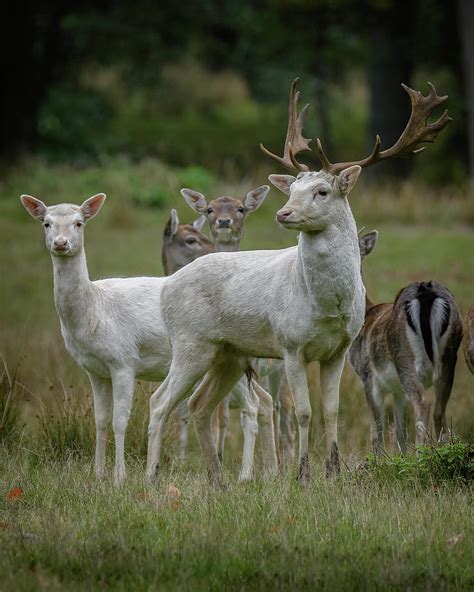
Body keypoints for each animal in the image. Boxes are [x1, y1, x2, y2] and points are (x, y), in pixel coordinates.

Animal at [348, 231, 462, 454]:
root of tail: (426, 293)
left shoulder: (368, 376)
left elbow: (377, 430)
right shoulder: (396, 389)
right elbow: (400, 432)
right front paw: (401, 457)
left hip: (405, 358)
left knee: (423, 402)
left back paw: (421, 454)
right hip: (450, 356)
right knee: (439, 409)